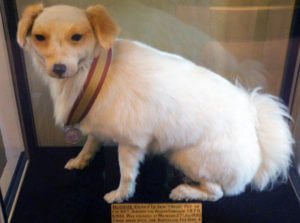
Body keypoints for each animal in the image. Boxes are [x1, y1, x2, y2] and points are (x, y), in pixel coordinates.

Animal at [17, 3, 292, 203]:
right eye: (39, 37)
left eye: (77, 37)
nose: (59, 68)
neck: (91, 74)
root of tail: (254, 127)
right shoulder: (96, 123)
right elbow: (90, 143)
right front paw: (80, 160)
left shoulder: (131, 143)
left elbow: (127, 174)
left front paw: (120, 196)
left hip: (186, 157)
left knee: (218, 192)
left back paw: (184, 192)